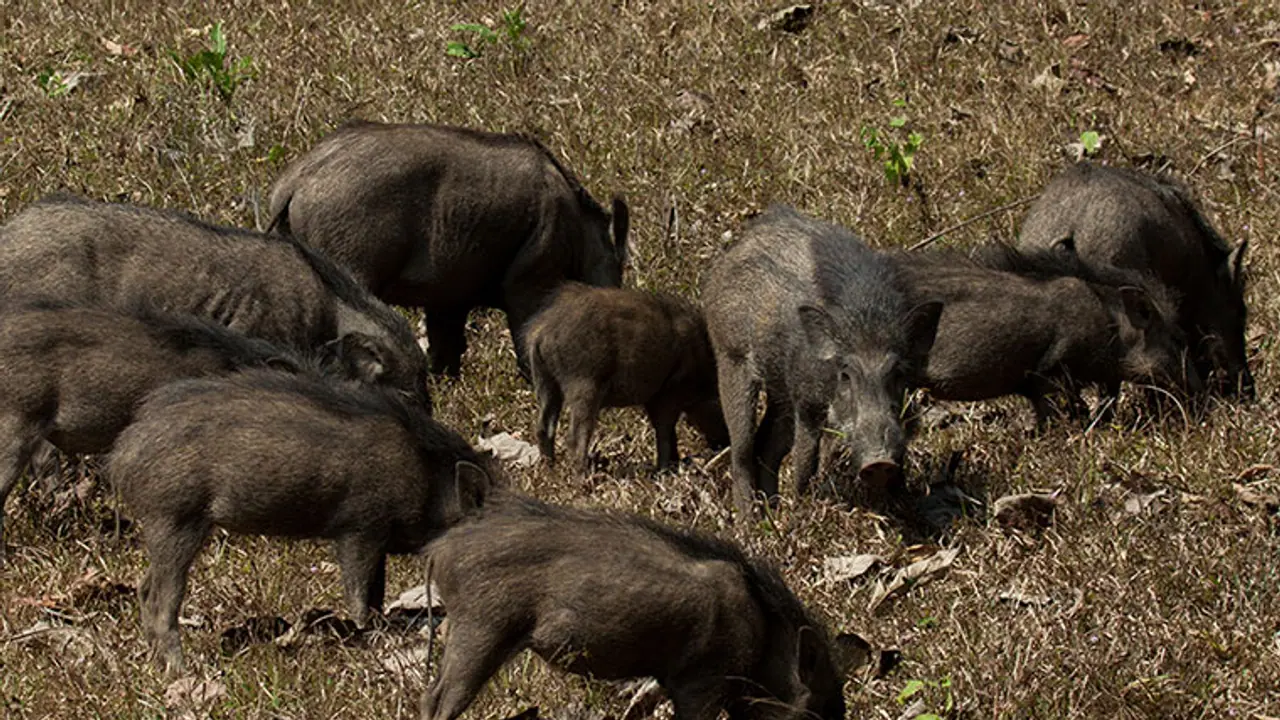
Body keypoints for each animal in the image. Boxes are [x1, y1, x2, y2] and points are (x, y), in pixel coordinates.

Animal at [106, 370, 499, 672]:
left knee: (143, 587)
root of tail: (121, 455)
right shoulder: (360, 528)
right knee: (161, 600)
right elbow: (358, 593)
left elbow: (375, 592)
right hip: (174, 520)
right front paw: (367, 635)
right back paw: (182, 671)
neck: (431, 484)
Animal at [419, 491, 858, 720]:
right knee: (438, 701)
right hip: (482, 630)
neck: (766, 638)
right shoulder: (701, 685)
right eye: (815, 711)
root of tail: (440, 549)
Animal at [524, 282, 727, 471]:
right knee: (575, 438)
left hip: (546, 385)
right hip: (584, 387)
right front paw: (665, 470)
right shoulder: (667, 396)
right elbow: (664, 432)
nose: (722, 445)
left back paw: (550, 470)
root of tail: (543, 332)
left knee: (544, 428)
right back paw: (583, 478)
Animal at [702, 205, 942, 516]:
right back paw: (749, 521)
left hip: (780, 392)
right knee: (742, 449)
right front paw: (803, 508)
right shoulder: (807, 404)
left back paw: (773, 512)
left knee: (766, 448)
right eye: (846, 373)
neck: (866, 318)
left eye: (898, 373)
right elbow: (805, 462)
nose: (879, 463)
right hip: (731, 358)